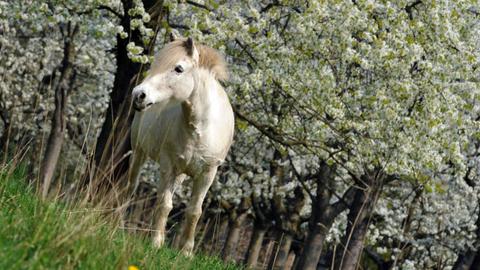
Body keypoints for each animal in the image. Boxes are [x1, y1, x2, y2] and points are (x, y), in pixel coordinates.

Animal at [128, 34, 235, 254]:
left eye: (178, 68)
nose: (138, 95)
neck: (200, 127)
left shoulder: (207, 174)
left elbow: (194, 211)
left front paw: (186, 251)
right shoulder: (168, 165)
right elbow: (164, 204)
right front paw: (156, 243)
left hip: (181, 174)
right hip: (139, 152)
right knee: (131, 185)